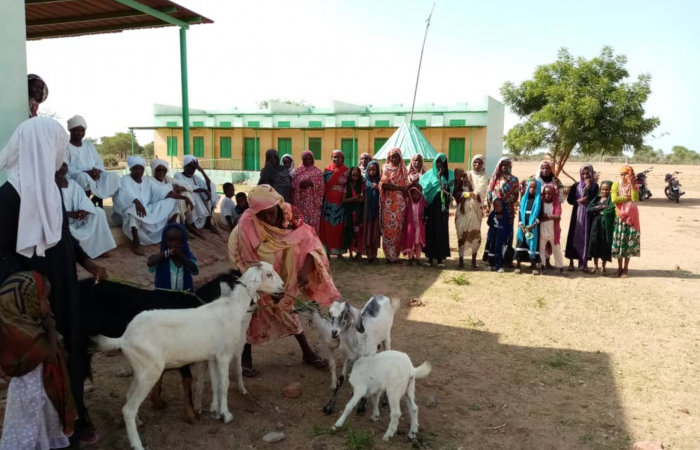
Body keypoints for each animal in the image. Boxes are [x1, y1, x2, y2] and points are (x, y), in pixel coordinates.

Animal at [93, 262, 284, 448]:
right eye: (268, 274)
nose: (282, 287)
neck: (232, 309)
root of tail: (124, 338)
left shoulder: (213, 357)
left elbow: (215, 384)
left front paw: (215, 412)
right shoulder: (224, 355)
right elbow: (224, 384)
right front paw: (226, 415)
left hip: (140, 371)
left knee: (127, 398)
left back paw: (139, 423)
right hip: (150, 371)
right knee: (128, 409)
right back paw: (137, 444)